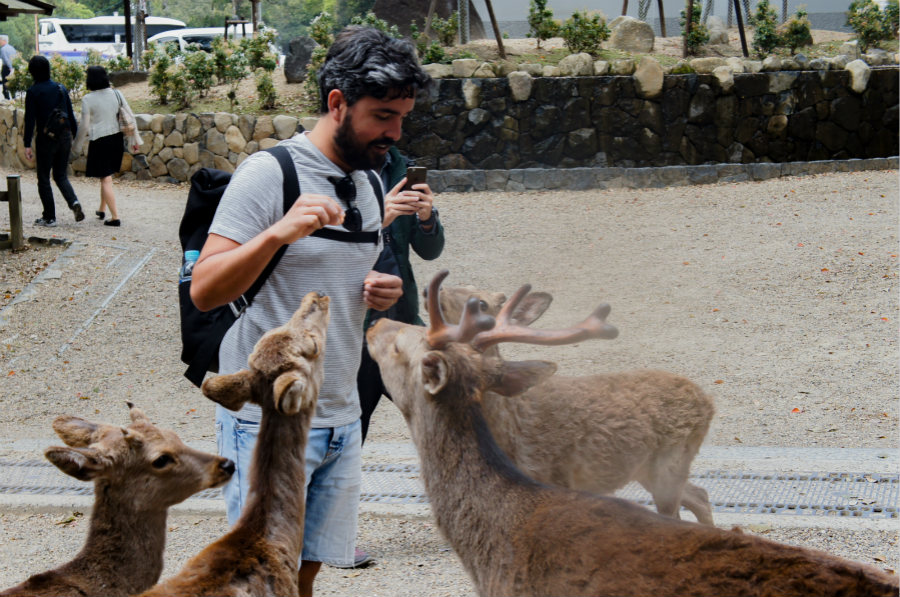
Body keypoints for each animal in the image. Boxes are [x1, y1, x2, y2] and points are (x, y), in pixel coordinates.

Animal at [436, 282, 716, 520]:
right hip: (648, 470)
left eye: (482, 304)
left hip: (672, 464)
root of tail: (708, 401)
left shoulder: (553, 478)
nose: (439, 288)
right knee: (700, 496)